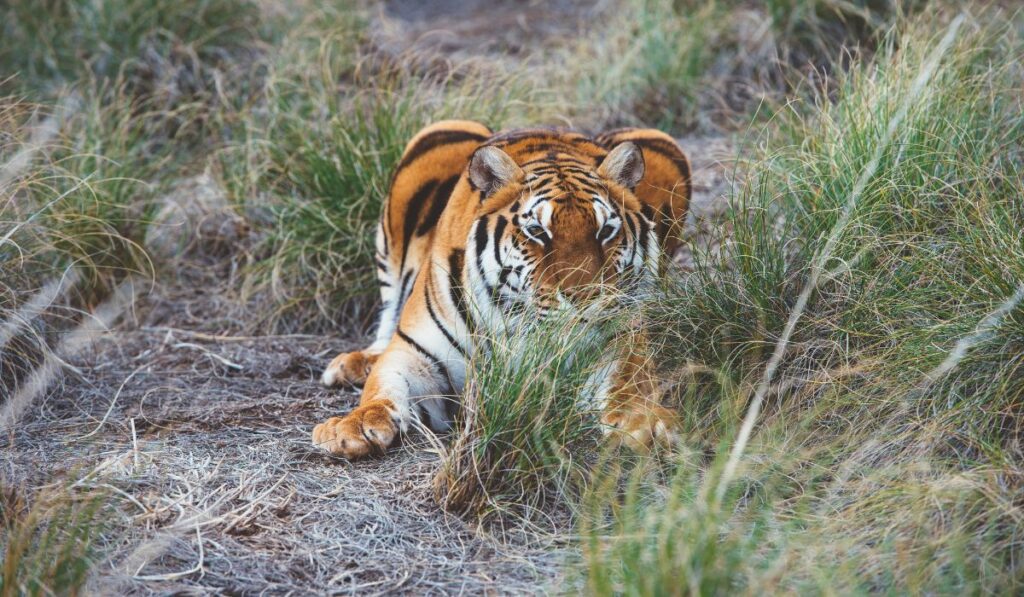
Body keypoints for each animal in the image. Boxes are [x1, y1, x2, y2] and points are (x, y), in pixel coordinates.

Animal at [313, 121, 691, 459]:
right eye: (538, 231)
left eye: (605, 231)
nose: (585, 298)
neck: (518, 321)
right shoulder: (414, 352)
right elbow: (382, 387)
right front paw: (352, 427)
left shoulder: (620, 340)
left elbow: (628, 385)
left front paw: (648, 424)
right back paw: (352, 364)